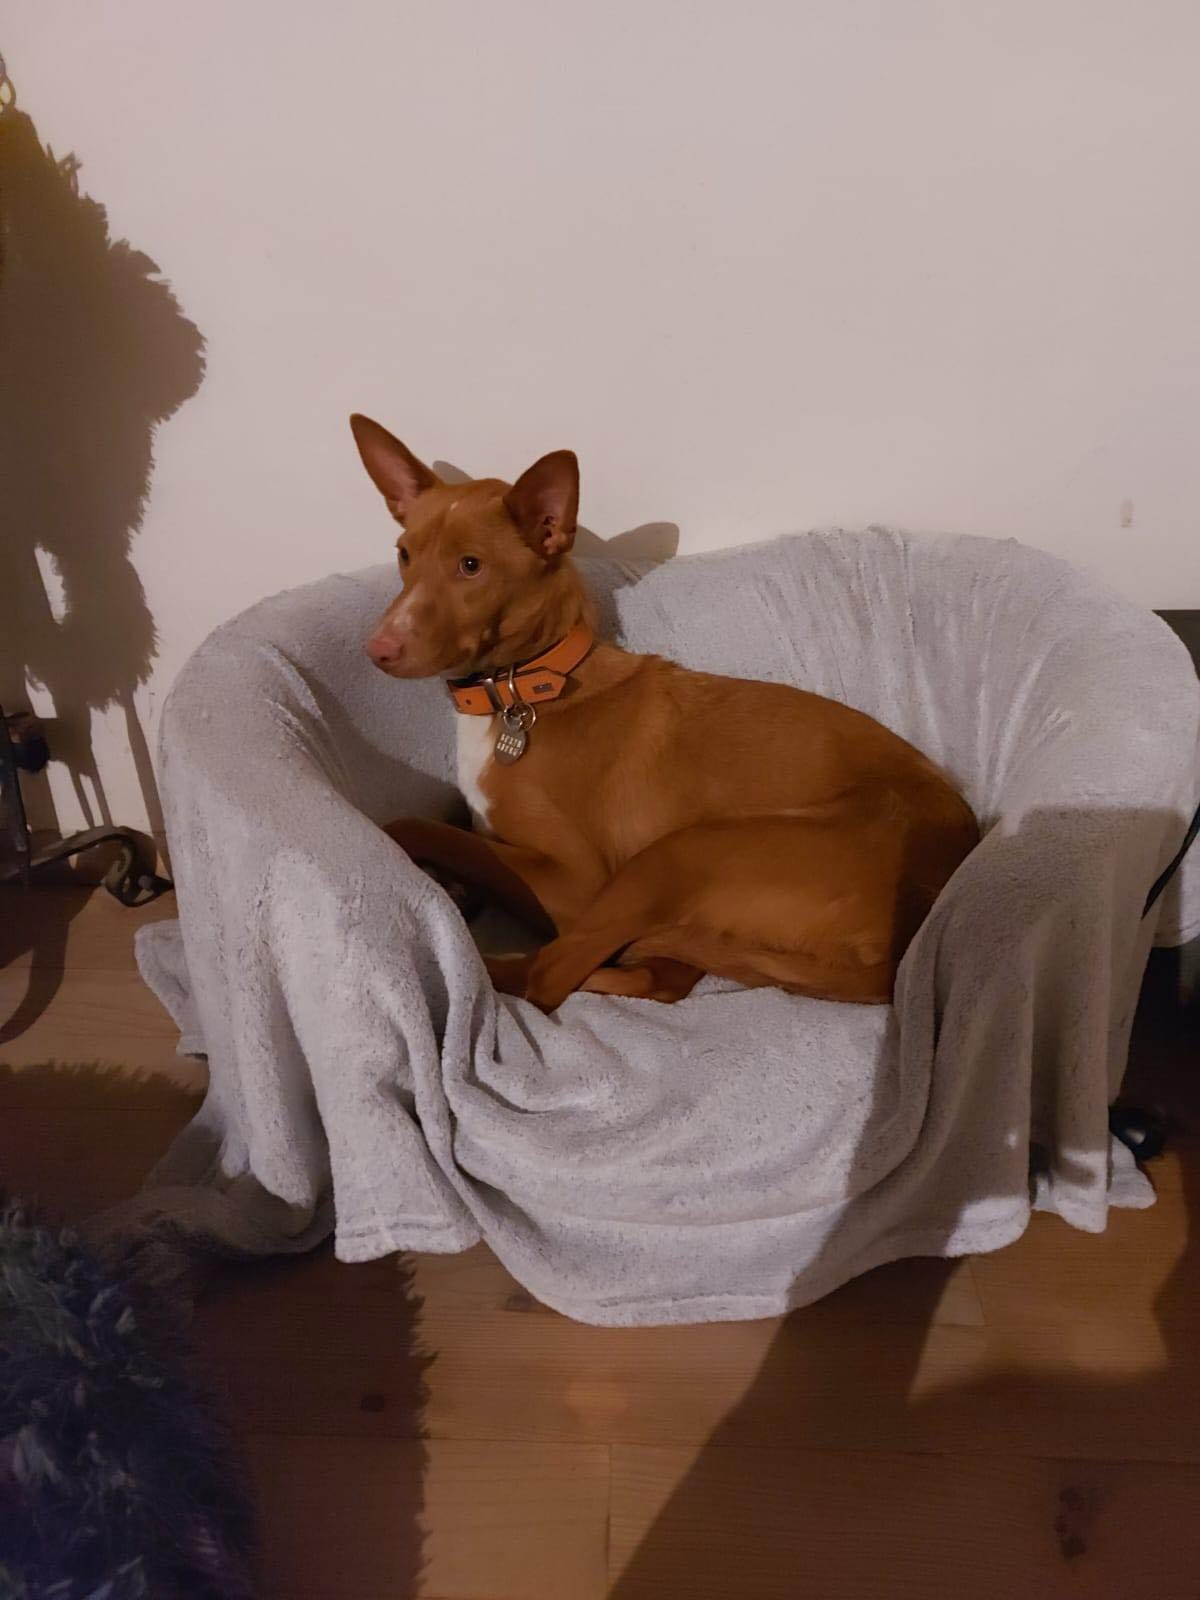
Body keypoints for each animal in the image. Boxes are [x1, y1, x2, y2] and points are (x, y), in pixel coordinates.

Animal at [351, 414, 979, 1012]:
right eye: (404, 555)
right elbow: (459, 826)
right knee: (657, 978)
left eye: (471, 566)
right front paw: (455, 885)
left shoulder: (576, 883)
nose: (377, 650)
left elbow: (419, 825)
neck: (525, 691)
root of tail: (899, 952)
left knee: (546, 978)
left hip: (678, 854)